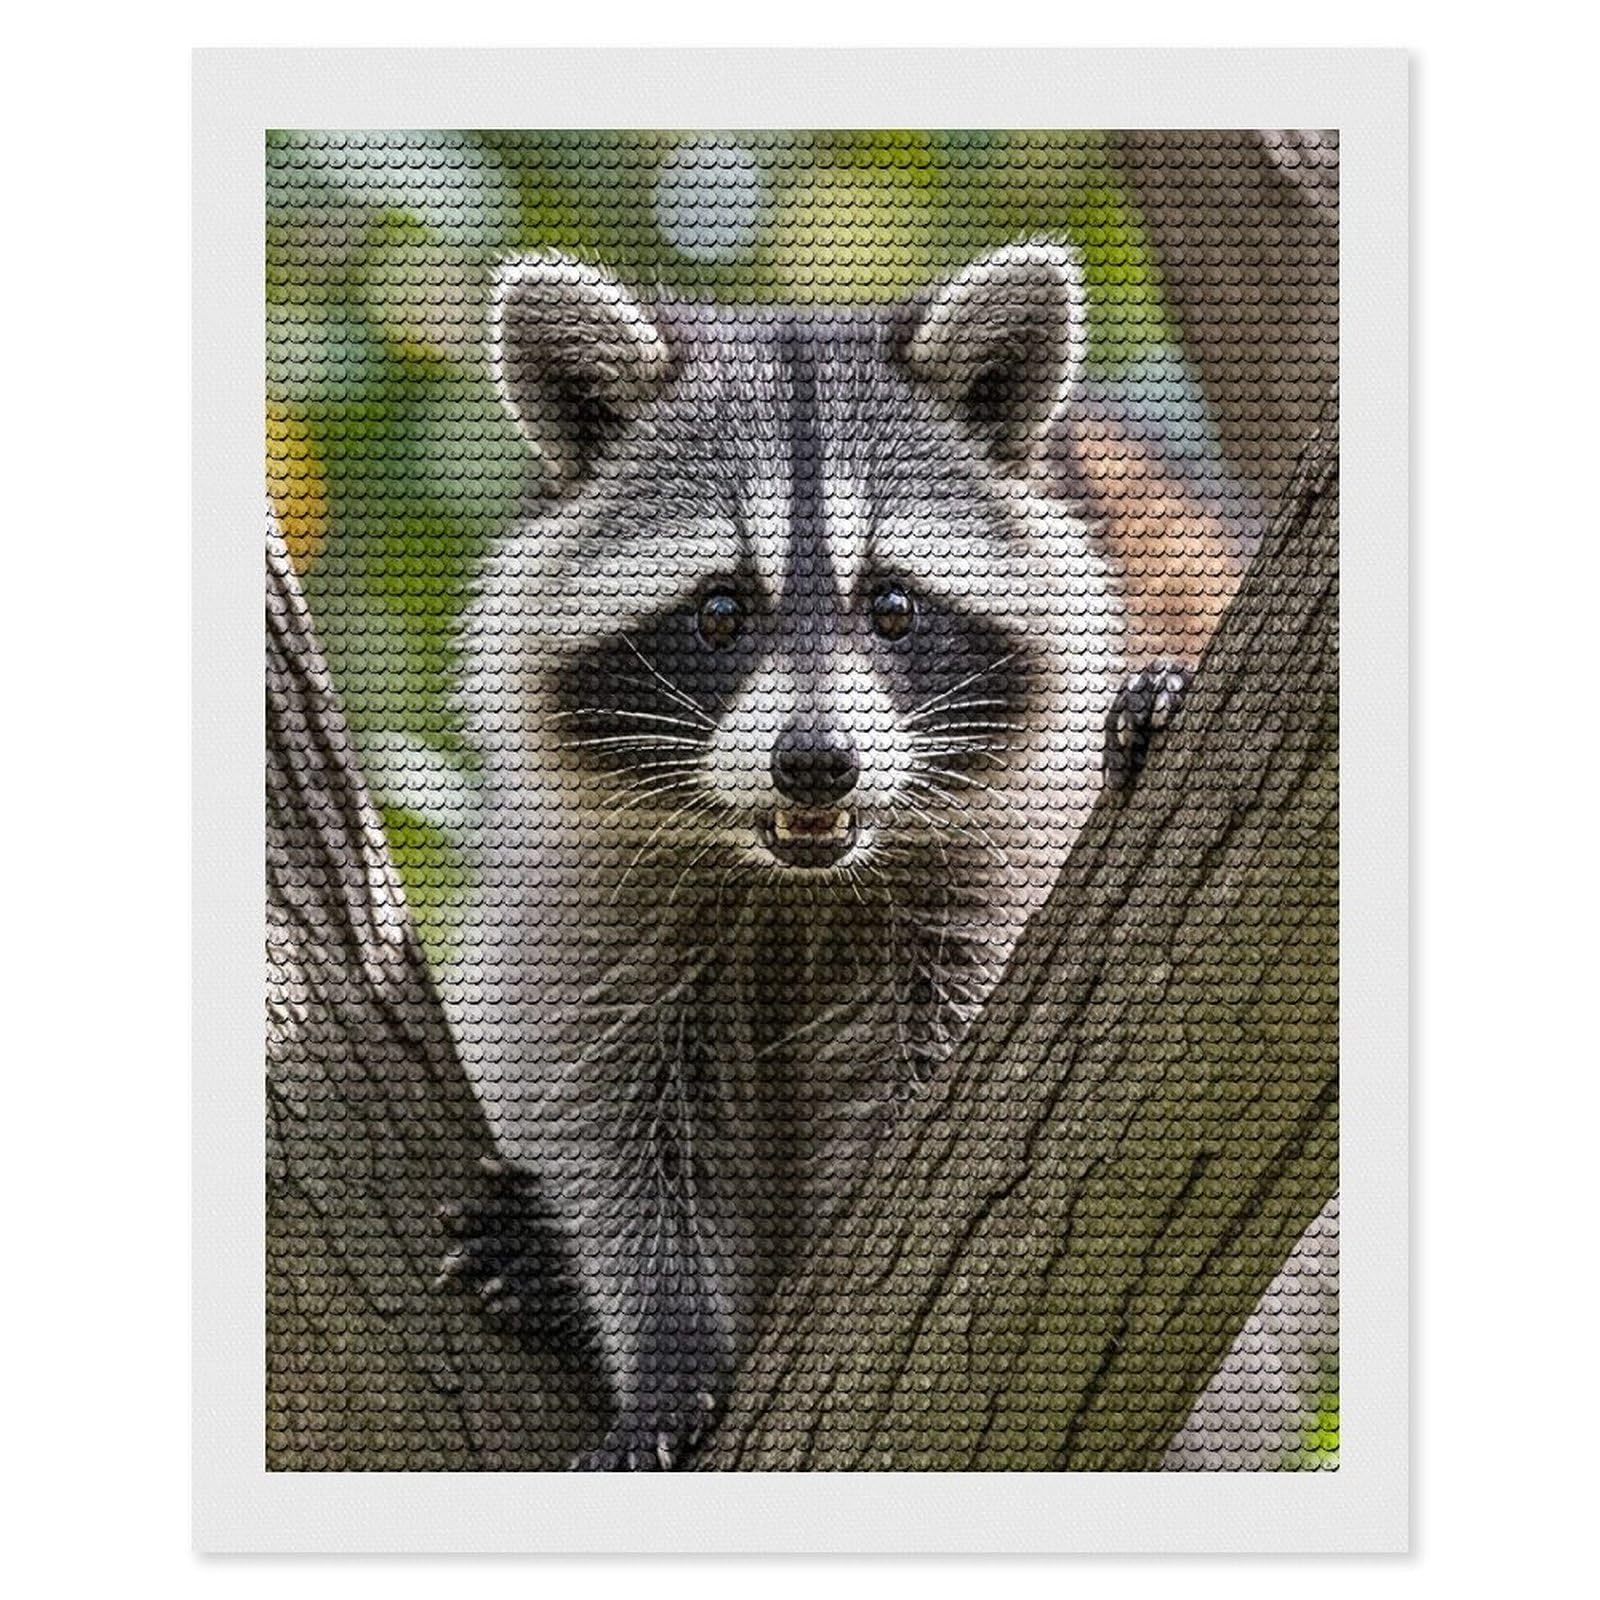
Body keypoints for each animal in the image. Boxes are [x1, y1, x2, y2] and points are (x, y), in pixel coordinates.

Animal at [443, 240, 1175, 1470]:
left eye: (893, 605)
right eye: (720, 610)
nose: (816, 764)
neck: (797, 882)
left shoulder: (1001, 872)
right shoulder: (600, 897)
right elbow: (615, 1113)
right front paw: (663, 1342)